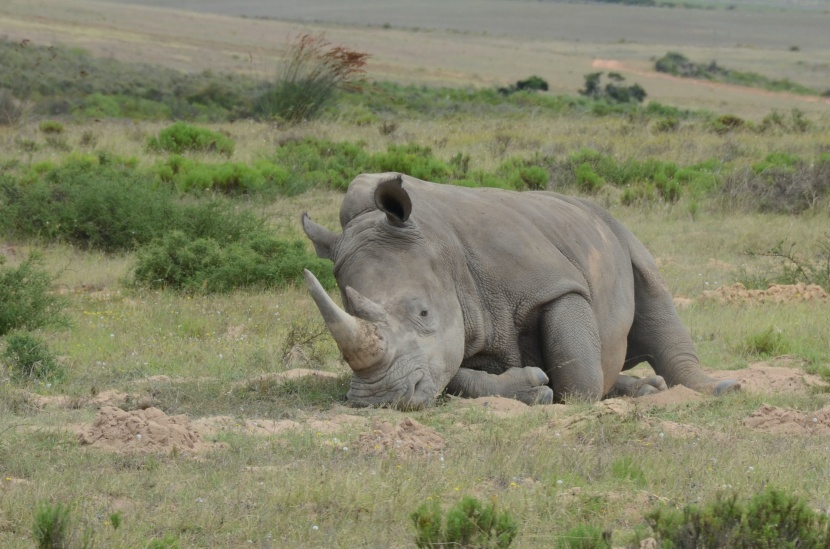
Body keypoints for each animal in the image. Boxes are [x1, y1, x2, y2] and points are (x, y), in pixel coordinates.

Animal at [302, 171, 744, 406]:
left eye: (424, 313)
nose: (380, 399)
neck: (438, 245)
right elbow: (455, 375)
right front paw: (533, 390)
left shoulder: (553, 283)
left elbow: (578, 375)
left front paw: (564, 395)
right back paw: (644, 389)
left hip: (621, 232)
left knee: (654, 295)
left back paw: (721, 390)